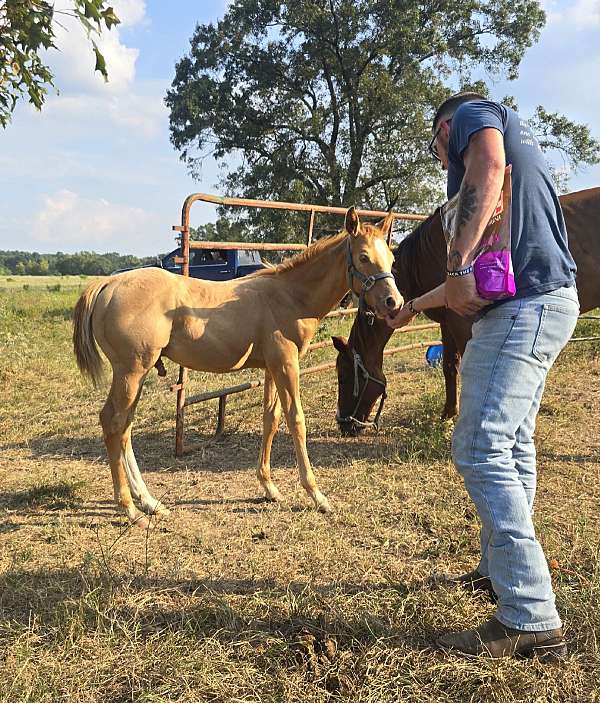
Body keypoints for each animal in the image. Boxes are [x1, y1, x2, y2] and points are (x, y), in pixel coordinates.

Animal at [74, 209, 404, 528]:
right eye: (363, 257)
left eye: (391, 259)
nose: (395, 302)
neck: (289, 296)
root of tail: (108, 284)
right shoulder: (287, 364)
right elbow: (296, 420)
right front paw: (317, 496)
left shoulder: (272, 367)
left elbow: (270, 419)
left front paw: (269, 487)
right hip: (130, 371)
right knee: (113, 423)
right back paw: (130, 509)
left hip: (136, 374)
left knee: (124, 426)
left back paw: (149, 502)